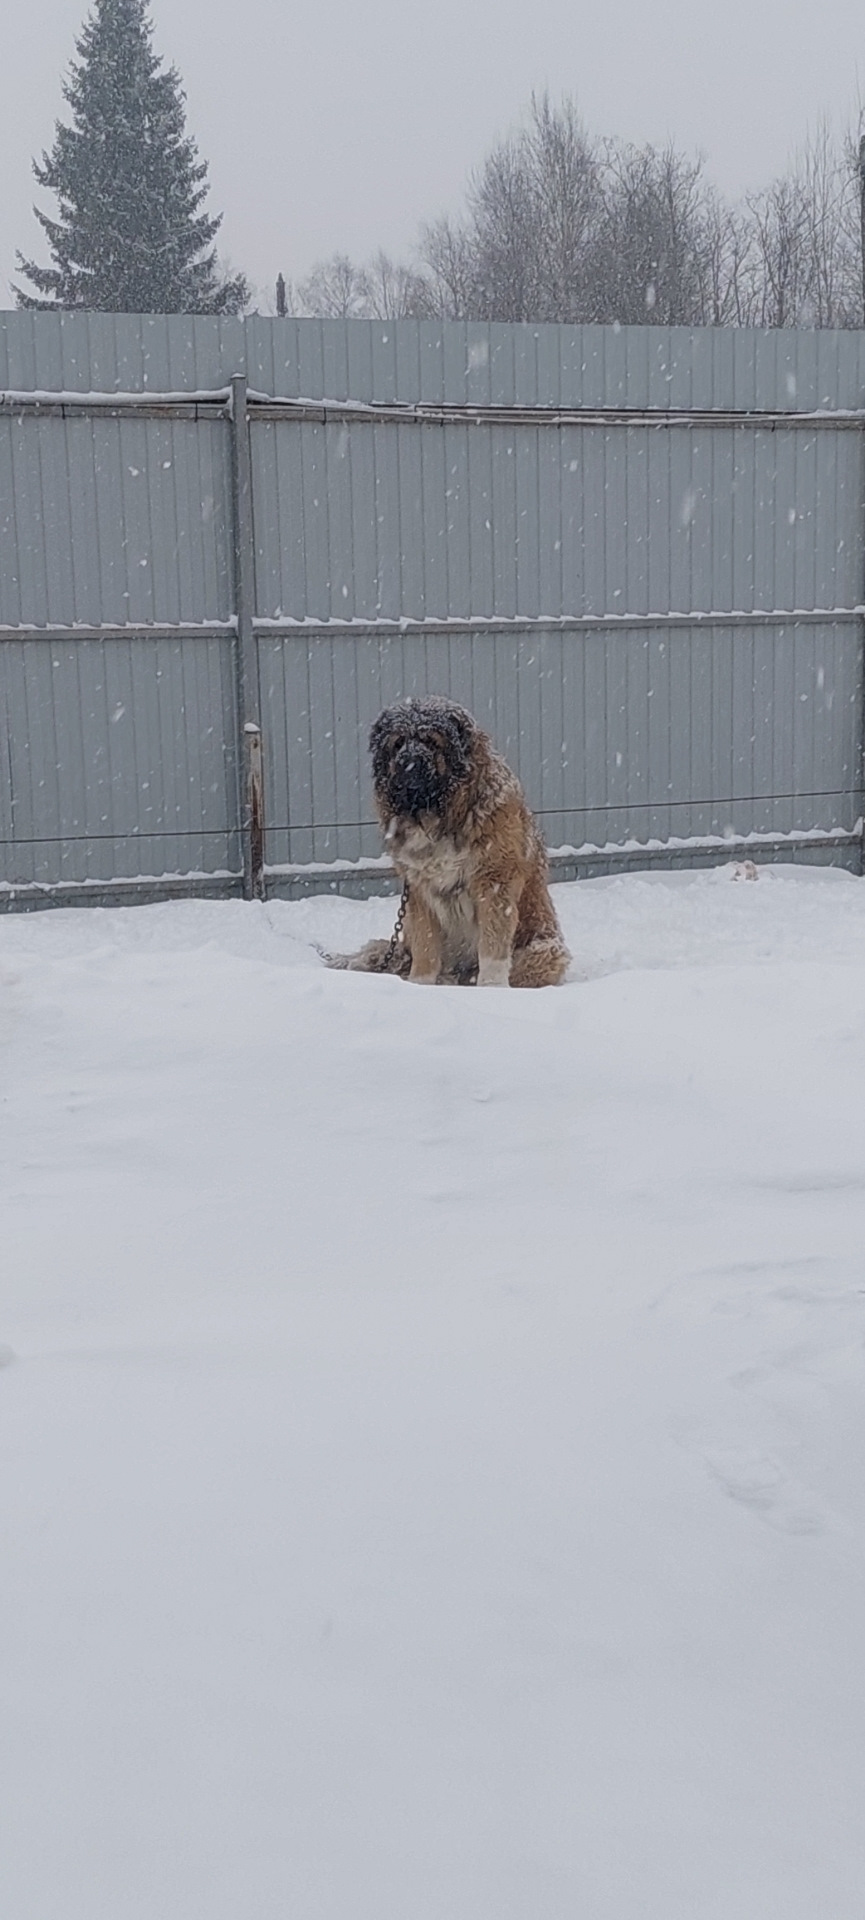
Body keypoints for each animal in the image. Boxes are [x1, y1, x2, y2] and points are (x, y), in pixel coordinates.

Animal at [329, 695, 567, 990]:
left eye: (431, 741)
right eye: (398, 742)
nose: (408, 762)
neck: (437, 817)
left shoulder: (495, 882)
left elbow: (493, 946)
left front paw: (492, 988)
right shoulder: (418, 890)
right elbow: (426, 946)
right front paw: (420, 984)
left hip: (547, 950)